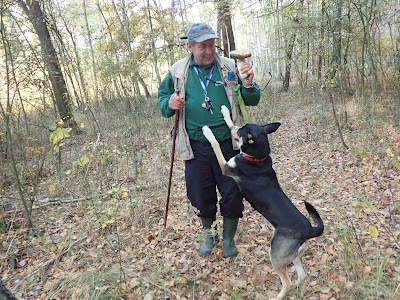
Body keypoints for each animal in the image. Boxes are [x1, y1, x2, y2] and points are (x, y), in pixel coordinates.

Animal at [203, 105, 324, 300]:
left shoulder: (226, 167)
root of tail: (309, 230)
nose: (232, 129)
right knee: (301, 276)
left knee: (287, 283)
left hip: (275, 255)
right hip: (292, 256)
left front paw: (208, 132)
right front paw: (225, 112)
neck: (258, 158)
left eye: (240, 132)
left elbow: (215, 145)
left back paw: (279, 295)